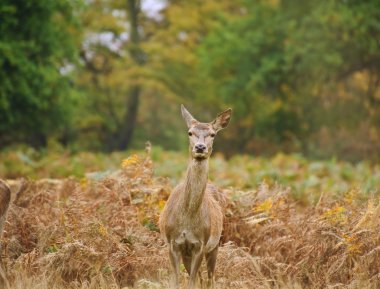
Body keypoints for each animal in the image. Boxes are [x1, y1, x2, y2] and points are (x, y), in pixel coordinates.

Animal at [158, 104, 230, 286]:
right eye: (189, 132)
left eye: (212, 134)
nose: (200, 147)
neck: (187, 220)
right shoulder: (173, 243)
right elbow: (176, 281)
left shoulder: (201, 244)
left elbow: (192, 282)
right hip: (187, 253)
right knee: (201, 278)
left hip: (215, 243)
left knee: (209, 278)